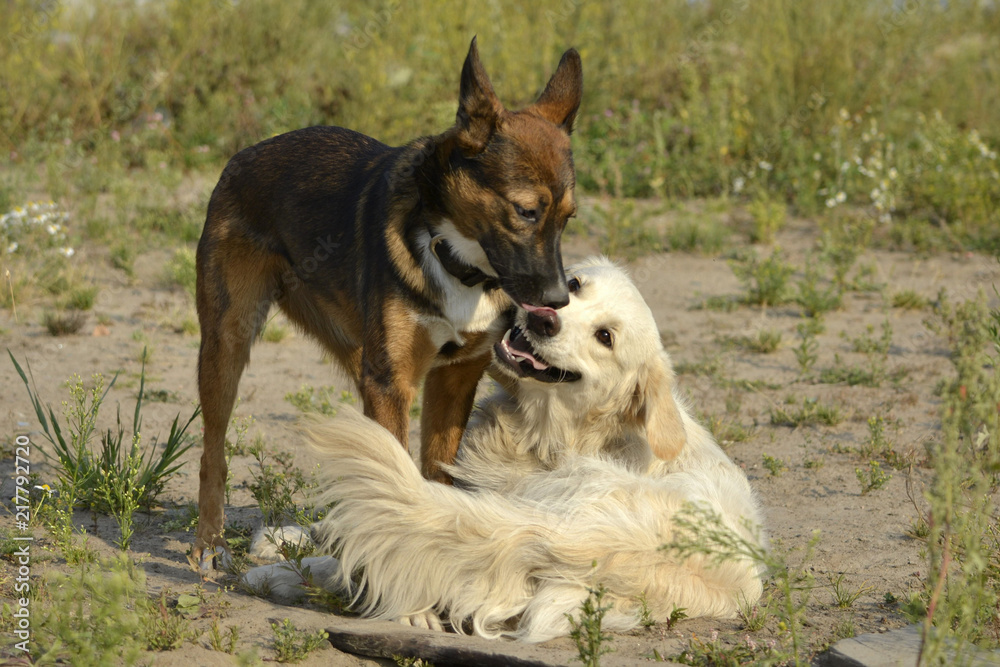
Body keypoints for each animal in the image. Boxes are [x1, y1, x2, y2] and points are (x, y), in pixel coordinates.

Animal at [191, 37, 584, 568]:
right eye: (525, 211)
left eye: (568, 218)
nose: (558, 300)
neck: (453, 256)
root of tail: (244, 155)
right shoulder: (392, 383)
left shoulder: (452, 379)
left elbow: (434, 475)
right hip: (227, 344)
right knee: (212, 451)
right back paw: (210, 541)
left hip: (359, 359)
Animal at [250, 258, 764, 640]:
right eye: (573, 285)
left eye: (605, 337)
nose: (543, 318)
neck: (553, 433)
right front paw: (285, 533)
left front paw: (286, 548)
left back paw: (277, 576)